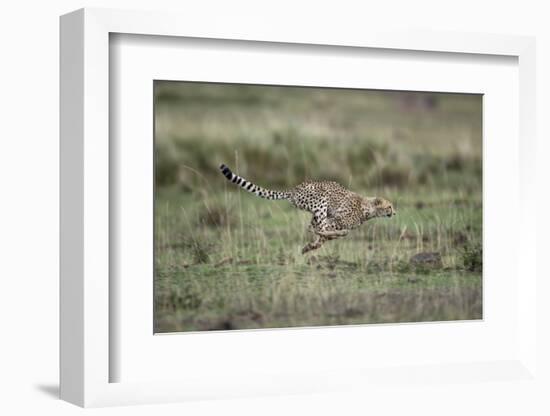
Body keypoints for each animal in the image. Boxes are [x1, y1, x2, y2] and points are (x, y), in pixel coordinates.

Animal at [220, 164, 396, 252]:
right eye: (389, 206)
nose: (395, 212)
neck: (368, 208)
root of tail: (294, 189)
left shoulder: (334, 222)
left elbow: (323, 237)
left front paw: (309, 247)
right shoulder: (335, 220)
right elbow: (331, 231)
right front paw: (314, 244)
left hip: (317, 211)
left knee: (312, 226)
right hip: (321, 201)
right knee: (316, 227)